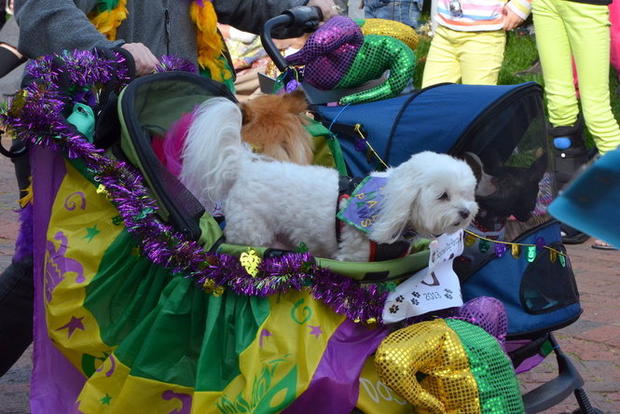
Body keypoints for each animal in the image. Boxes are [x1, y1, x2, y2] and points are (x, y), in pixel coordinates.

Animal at [179, 97, 480, 262]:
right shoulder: (355, 256)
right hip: (251, 234)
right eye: (443, 196)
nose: (466, 213)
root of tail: (245, 167)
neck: (389, 204)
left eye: (467, 194)